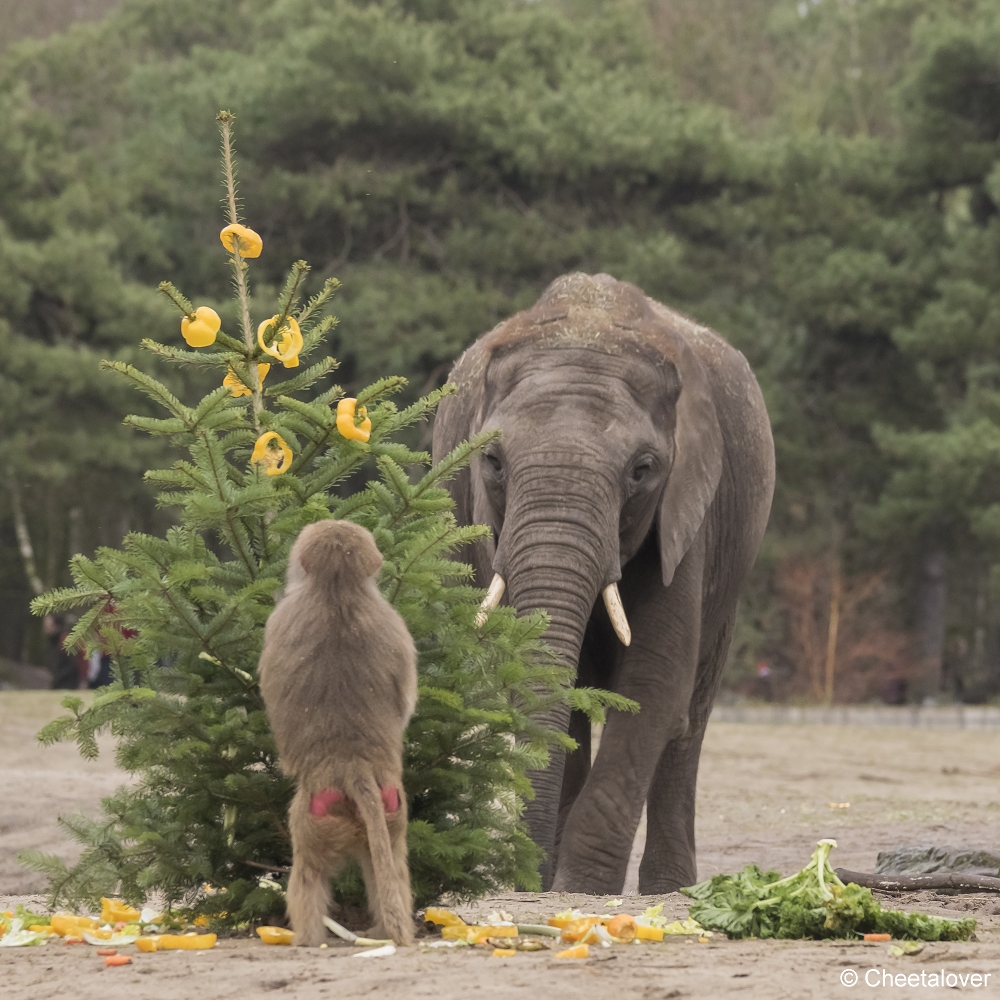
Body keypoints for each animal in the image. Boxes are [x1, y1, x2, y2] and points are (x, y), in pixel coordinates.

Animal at [432, 272, 772, 892]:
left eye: (642, 470)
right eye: (492, 461)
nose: (524, 876)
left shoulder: (687, 511)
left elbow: (653, 680)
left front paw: (582, 886)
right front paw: (552, 884)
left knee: (691, 716)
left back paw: (669, 887)